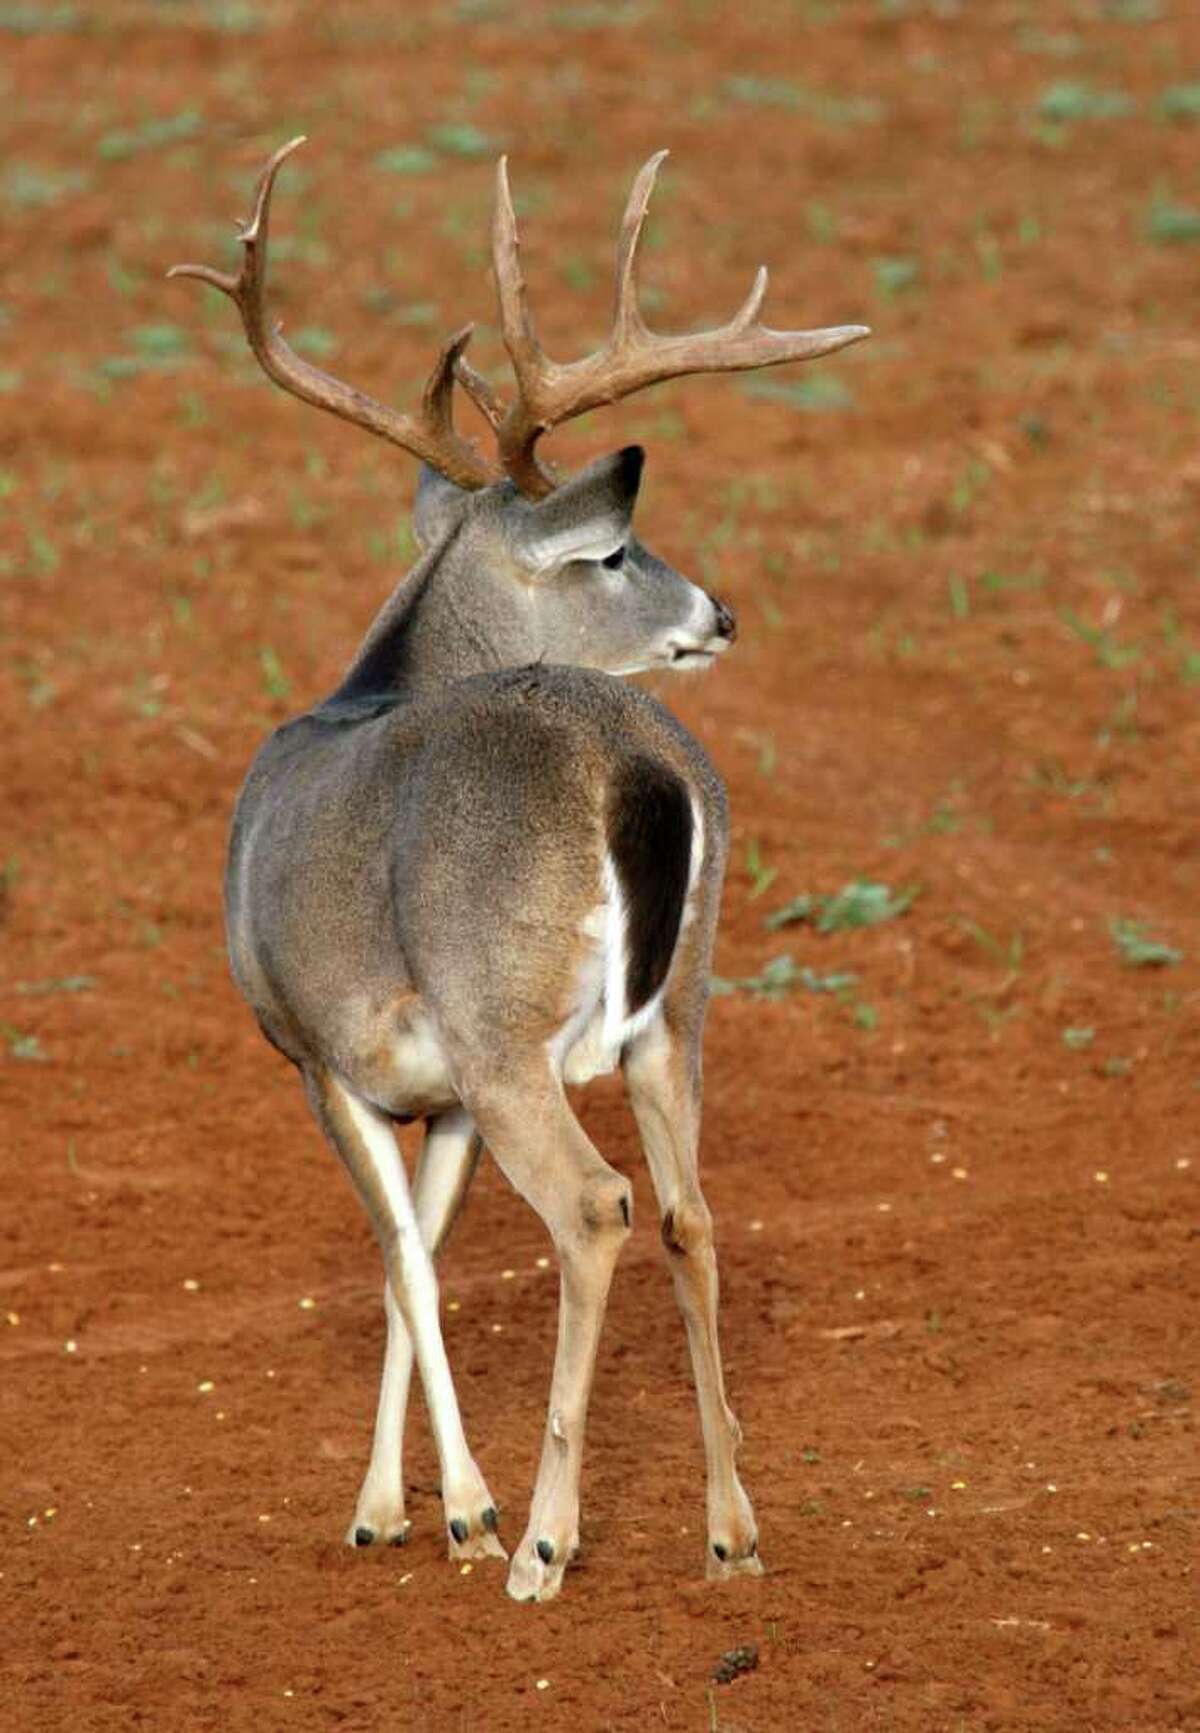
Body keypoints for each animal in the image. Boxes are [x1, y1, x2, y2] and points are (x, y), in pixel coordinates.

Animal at [169, 138, 867, 1603]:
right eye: (615, 552)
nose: (721, 612)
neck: (361, 693)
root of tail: (628, 762)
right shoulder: (434, 1094)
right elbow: (416, 1260)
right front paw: (393, 1502)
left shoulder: (318, 1045)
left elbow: (403, 1262)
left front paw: (454, 1511)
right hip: (679, 1003)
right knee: (689, 1211)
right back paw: (732, 1528)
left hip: (505, 1019)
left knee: (597, 1208)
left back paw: (546, 1540)